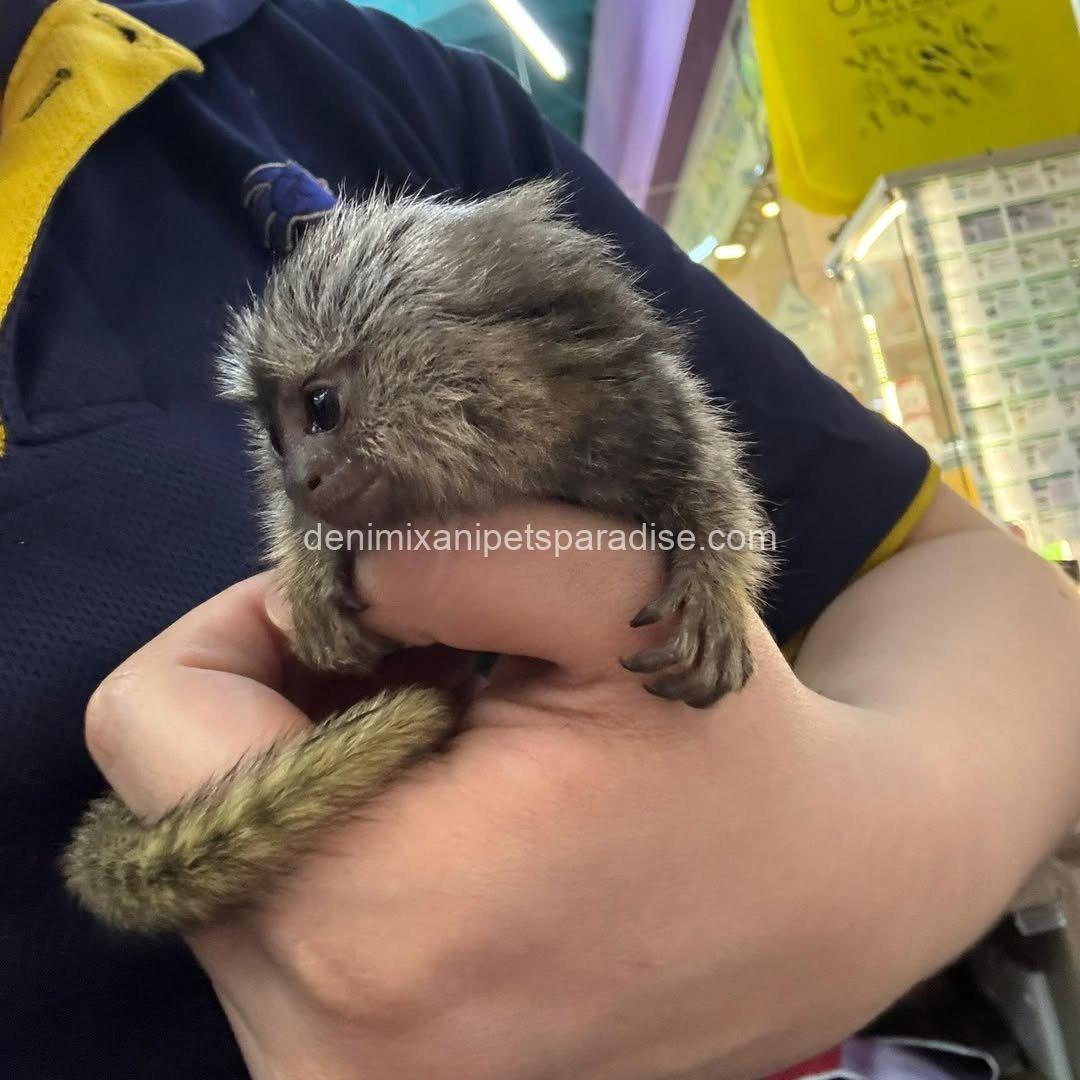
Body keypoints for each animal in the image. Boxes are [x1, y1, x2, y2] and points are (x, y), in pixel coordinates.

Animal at [62, 180, 771, 934]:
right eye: (276, 442)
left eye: (321, 407)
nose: (299, 478)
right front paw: (313, 569)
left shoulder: (646, 418)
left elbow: (711, 487)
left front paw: (714, 594)